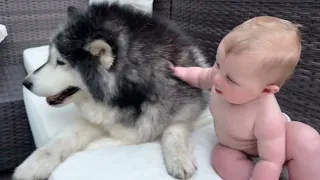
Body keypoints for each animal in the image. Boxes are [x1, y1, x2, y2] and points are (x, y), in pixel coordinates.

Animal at [15, 1, 210, 180]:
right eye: (49, 58)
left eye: (60, 62)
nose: (26, 82)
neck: (131, 97)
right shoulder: (102, 120)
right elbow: (66, 135)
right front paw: (34, 164)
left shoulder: (192, 106)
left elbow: (173, 129)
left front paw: (178, 159)